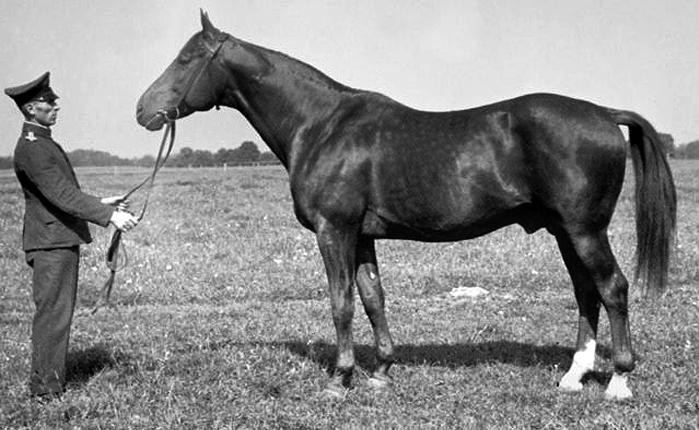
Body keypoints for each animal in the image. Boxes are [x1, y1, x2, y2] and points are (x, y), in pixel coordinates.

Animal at [136, 11, 676, 400]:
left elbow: (341, 302)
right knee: (587, 292)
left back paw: (618, 382)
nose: (142, 110)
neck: (322, 125)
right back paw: (573, 377)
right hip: (566, 231)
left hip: (585, 230)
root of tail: (603, 113)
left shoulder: (334, 230)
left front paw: (339, 379)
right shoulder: (362, 236)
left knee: (612, 288)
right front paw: (381, 371)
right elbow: (373, 298)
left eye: (186, 59)